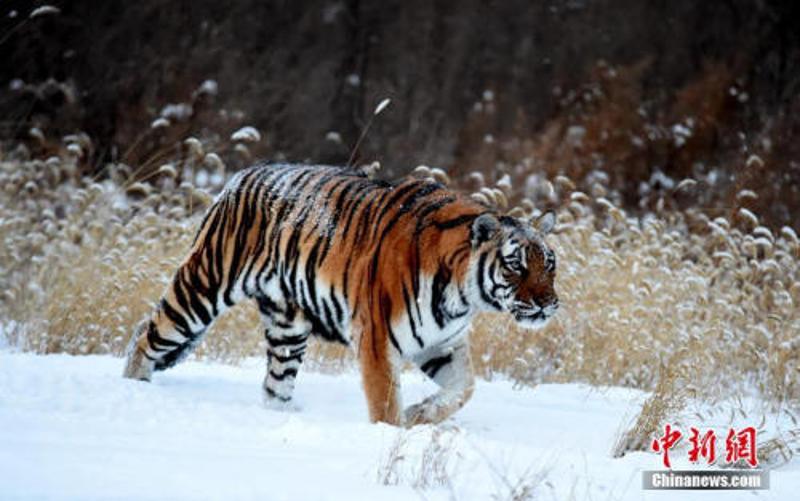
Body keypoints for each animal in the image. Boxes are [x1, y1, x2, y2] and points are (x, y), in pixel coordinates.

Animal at [125, 164, 560, 426]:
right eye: (516, 265)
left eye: (549, 263)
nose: (548, 304)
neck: (460, 296)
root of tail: (238, 178)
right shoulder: (378, 341)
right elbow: (385, 403)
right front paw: (394, 432)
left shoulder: (442, 344)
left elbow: (465, 388)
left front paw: (420, 414)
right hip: (202, 287)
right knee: (147, 336)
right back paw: (134, 389)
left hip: (288, 329)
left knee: (275, 385)